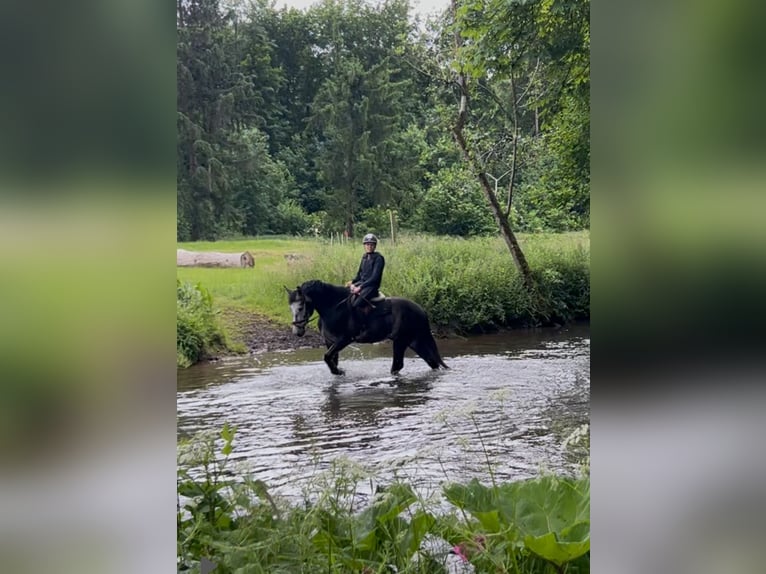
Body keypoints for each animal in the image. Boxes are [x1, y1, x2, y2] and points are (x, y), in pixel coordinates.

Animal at [285, 280, 449, 376]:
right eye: (290, 308)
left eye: (300, 307)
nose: (297, 331)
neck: (333, 308)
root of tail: (420, 310)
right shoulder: (330, 342)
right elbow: (330, 360)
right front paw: (337, 371)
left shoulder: (344, 340)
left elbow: (327, 357)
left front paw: (339, 372)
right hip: (413, 341)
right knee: (431, 362)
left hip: (401, 341)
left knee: (398, 366)